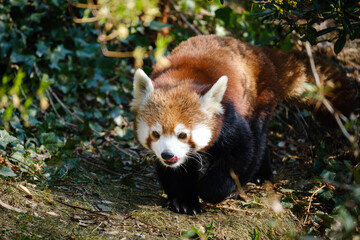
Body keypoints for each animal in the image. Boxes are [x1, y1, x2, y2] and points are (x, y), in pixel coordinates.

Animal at [130, 34, 358, 215]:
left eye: (182, 135)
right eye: (156, 134)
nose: (168, 155)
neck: (183, 78)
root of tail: (257, 51)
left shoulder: (229, 116)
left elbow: (241, 152)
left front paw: (209, 190)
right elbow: (176, 171)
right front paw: (185, 201)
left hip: (261, 97)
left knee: (258, 139)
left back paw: (257, 176)